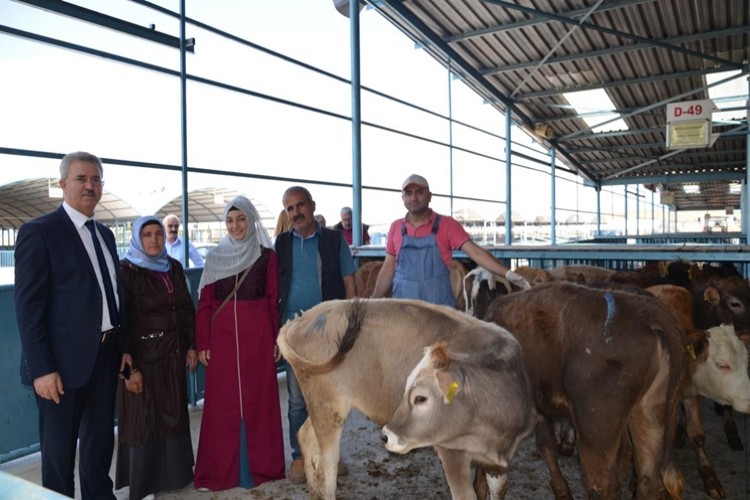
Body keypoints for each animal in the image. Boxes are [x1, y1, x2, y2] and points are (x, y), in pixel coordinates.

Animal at [280, 298, 536, 500]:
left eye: (420, 397)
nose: (386, 435)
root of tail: (304, 318)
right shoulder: (452, 452)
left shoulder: (499, 461)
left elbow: (498, 491)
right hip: (329, 404)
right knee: (326, 470)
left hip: (325, 404)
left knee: (305, 436)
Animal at [482, 284, 688, 498]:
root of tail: (646, 311)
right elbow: (546, 446)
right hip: (650, 413)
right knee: (648, 480)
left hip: (596, 429)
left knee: (603, 485)